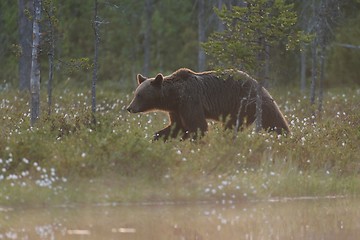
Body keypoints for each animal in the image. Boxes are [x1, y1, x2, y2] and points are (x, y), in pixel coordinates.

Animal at [126, 68, 290, 141]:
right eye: (135, 93)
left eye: (139, 95)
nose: (129, 108)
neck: (174, 96)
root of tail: (258, 85)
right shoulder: (176, 109)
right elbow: (176, 127)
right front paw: (158, 137)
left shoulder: (190, 101)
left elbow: (198, 127)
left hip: (243, 104)